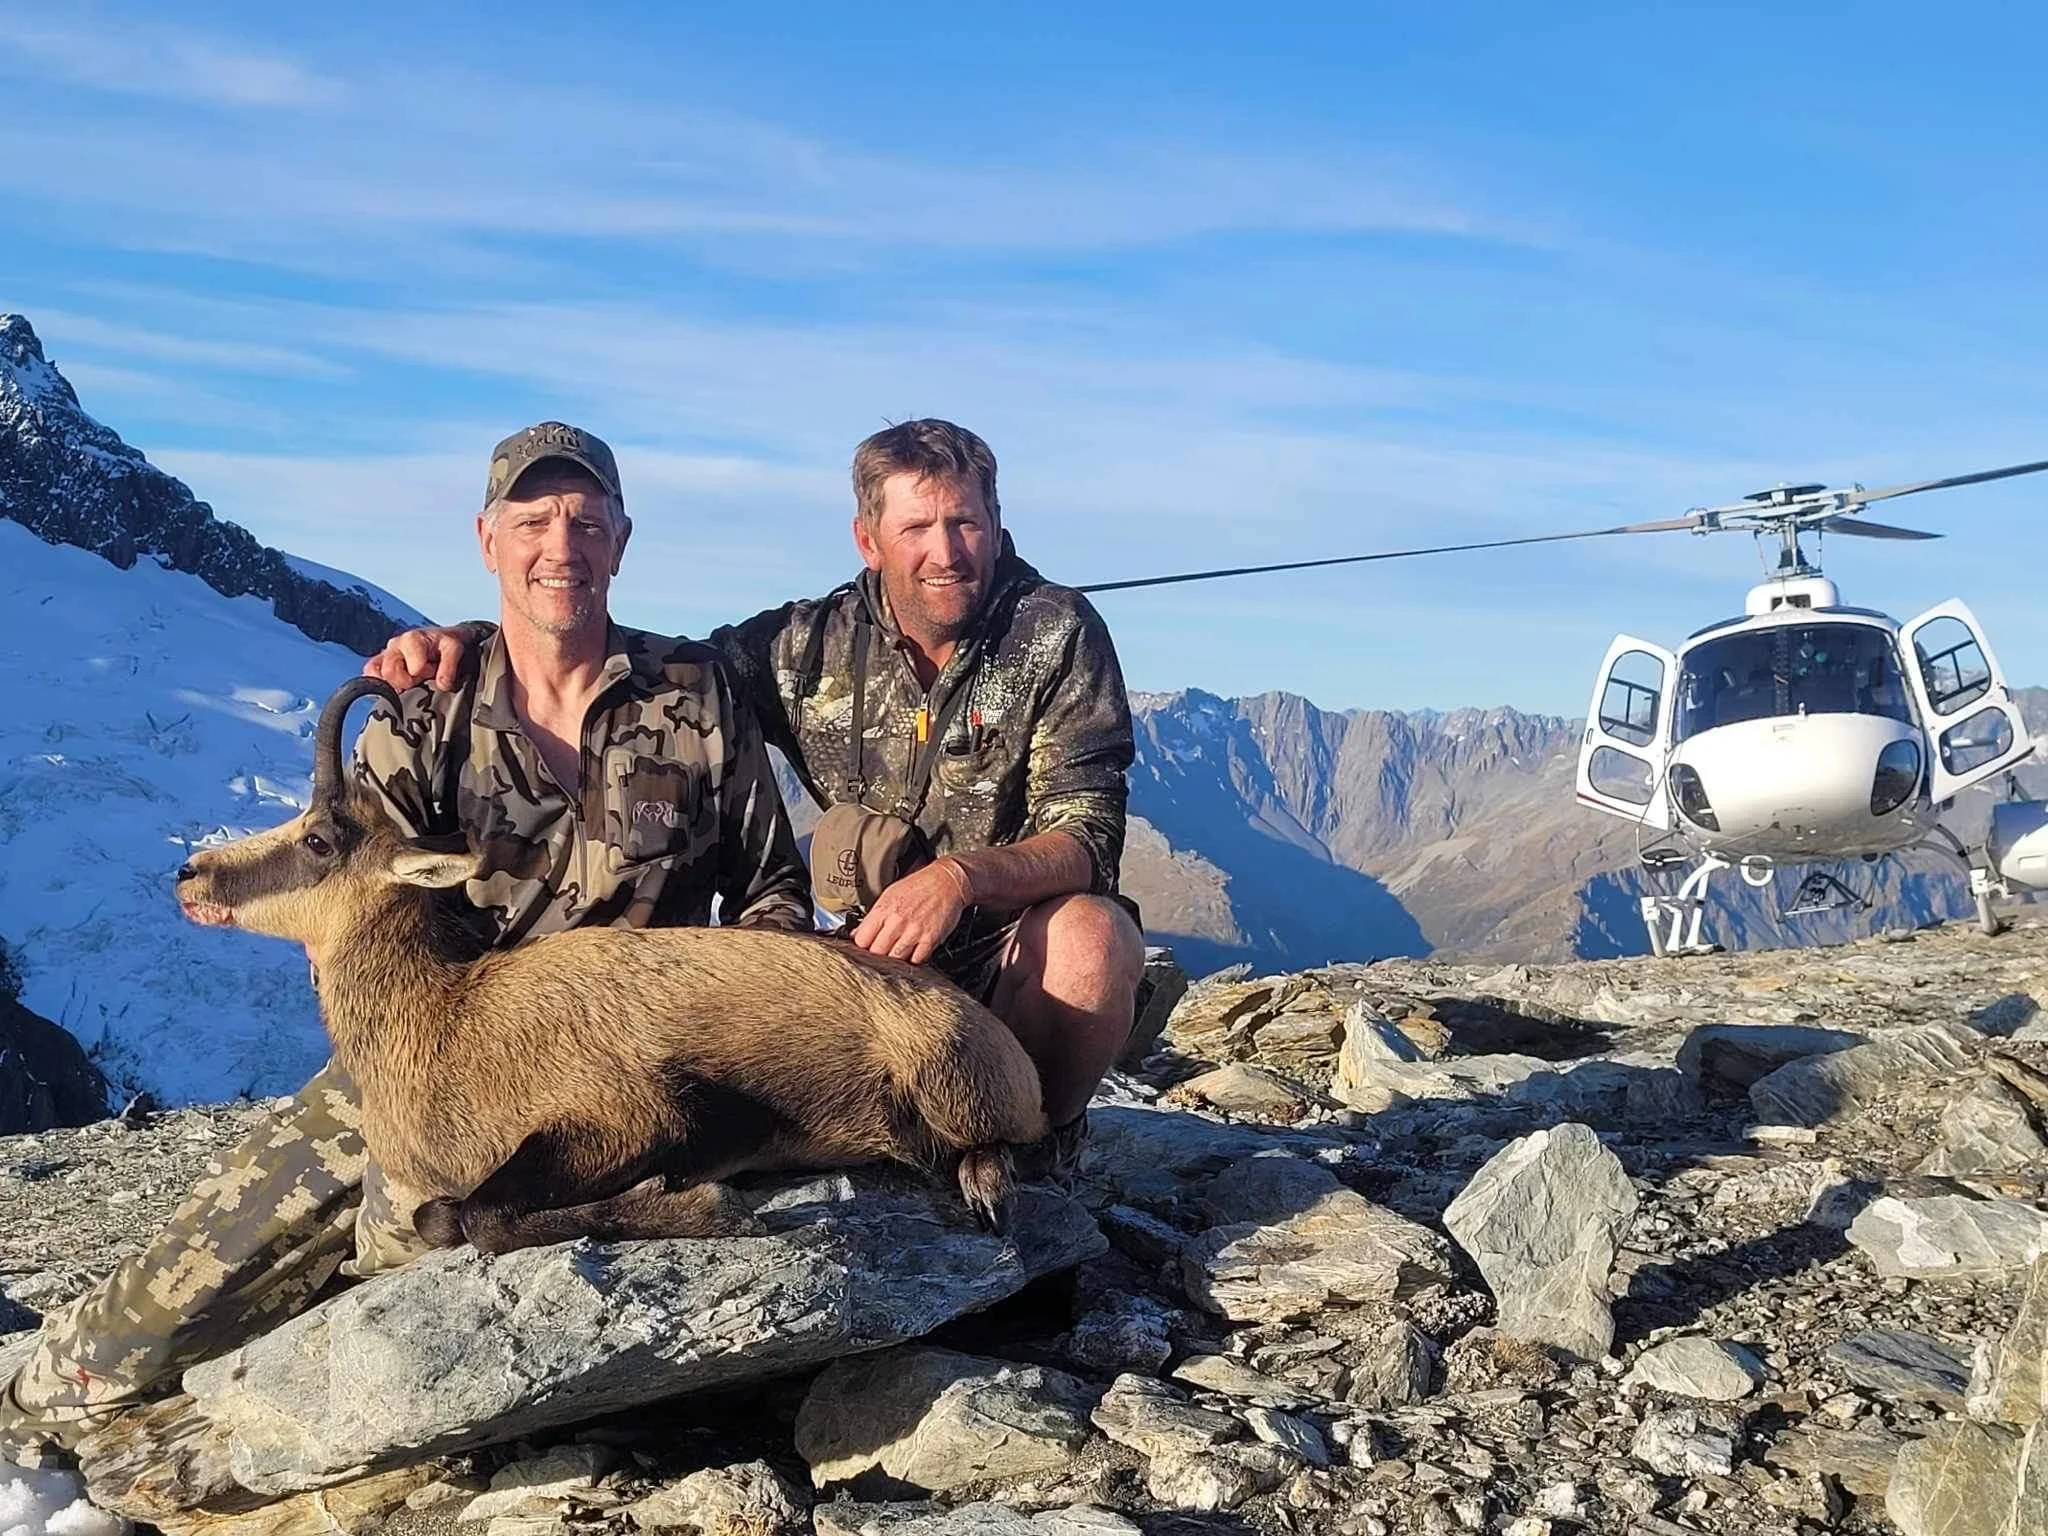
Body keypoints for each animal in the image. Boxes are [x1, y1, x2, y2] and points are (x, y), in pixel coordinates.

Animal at [173, 677, 1049, 1254]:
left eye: (319, 838)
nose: (191, 875)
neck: (445, 1023)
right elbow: (438, 1216)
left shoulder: (630, 1115)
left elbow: (483, 1217)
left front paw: (700, 1207)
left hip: (947, 1083)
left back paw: (984, 1183)